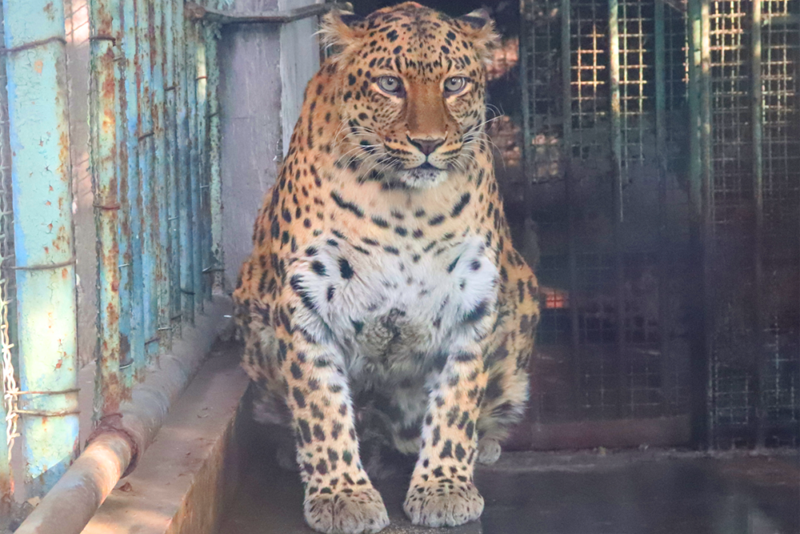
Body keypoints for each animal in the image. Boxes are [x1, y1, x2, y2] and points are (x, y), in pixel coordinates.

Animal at [234, 3, 540, 532]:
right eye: (390, 84)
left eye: (455, 83)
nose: (427, 143)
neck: (407, 206)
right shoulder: (304, 300)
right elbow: (320, 405)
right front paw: (342, 496)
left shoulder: (473, 298)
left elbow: (456, 401)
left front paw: (444, 486)